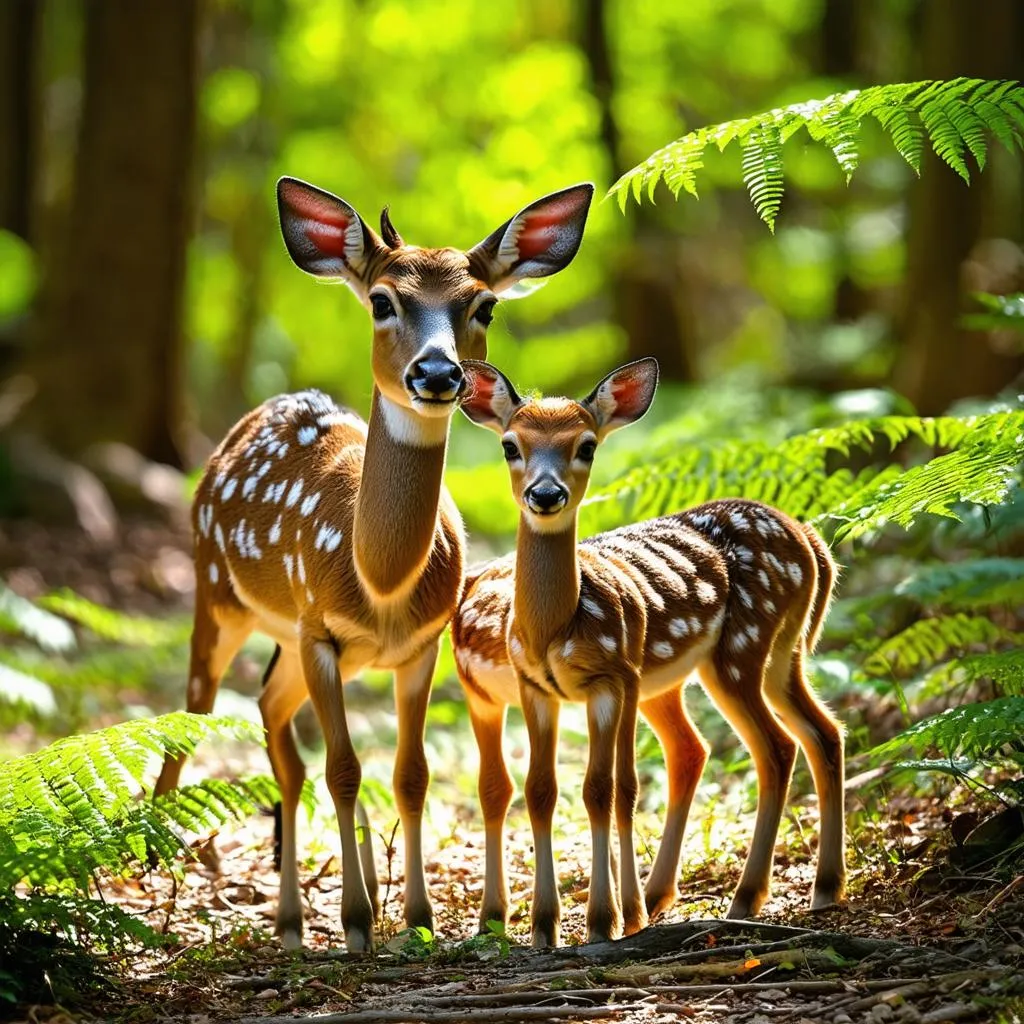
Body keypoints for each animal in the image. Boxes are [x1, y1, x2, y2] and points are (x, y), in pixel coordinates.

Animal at [155, 178, 598, 950]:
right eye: (383, 301)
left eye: (483, 305)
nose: (438, 372)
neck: (379, 579)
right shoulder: (320, 632)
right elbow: (344, 769)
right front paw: (360, 925)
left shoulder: (421, 644)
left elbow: (408, 773)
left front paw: (417, 919)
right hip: (218, 593)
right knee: (191, 721)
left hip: (285, 640)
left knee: (272, 720)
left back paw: (291, 923)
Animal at [456, 358, 847, 942]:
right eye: (509, 445)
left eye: (587, 445)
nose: (545, 495)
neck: (555, 626)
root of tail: (810, 538)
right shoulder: (537, 688)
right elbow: (542, 789)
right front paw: (547, 926)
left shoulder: (610, 677)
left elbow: (602, 788)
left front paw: (602, 921)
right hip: (779, 652)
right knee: (813, 733)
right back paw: (820, 888)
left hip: (739, 650)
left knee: (776, 747)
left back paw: (744, 898)